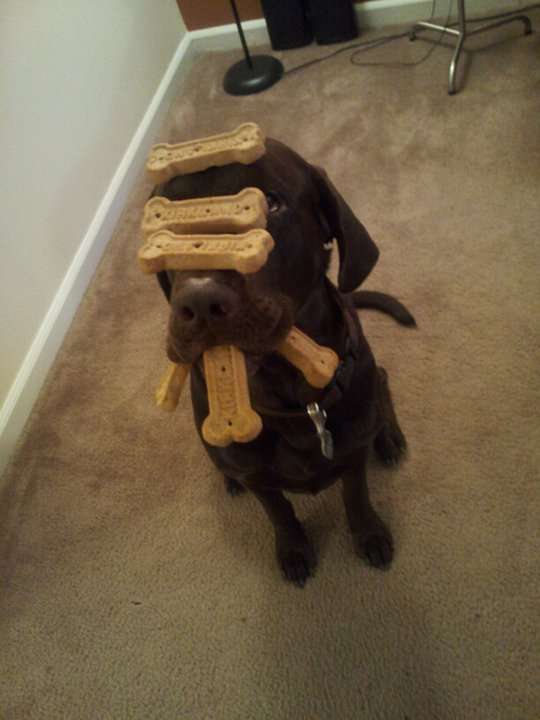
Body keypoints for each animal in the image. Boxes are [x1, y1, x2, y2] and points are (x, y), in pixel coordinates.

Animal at [151, 137, 414, 586]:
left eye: (271, 204)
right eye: (163, 224)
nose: (200, 303)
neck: (292, 397)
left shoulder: (351, 454)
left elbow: (355, 494)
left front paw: (369, 533)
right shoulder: (258, 475)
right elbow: (280, 512)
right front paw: (293, 549)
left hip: (371, 388)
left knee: (382, 383)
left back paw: (389, 437)